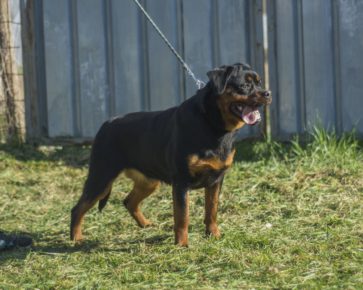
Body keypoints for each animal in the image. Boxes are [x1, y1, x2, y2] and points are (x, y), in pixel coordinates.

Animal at [70, 62, 270, 246]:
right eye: (244, 85)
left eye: (259, 83)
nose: (267, 93)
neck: (214, 125)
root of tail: (106, 124)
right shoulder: (181, 182)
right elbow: (182, 216)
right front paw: (182, 244)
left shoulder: (216, 180)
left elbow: (212, 210)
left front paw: (214, 234)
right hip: (101, 178)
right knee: (78, 208)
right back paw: (76, 239)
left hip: (148, 181)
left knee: (129, 201)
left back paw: (145, 224)